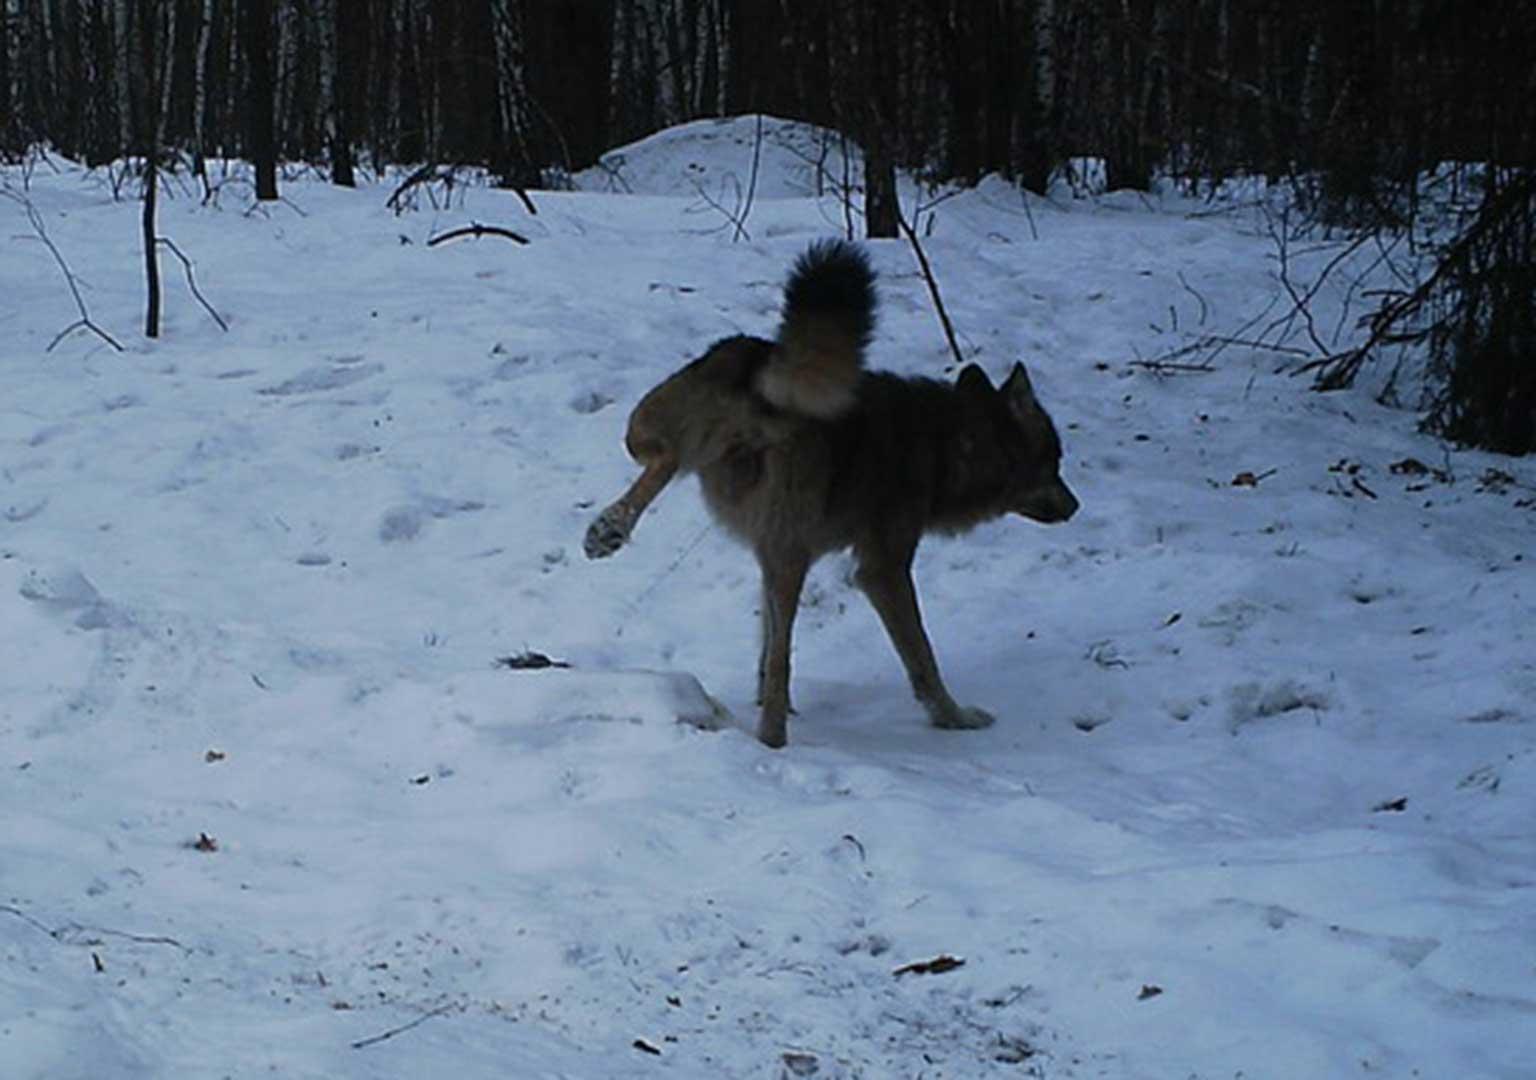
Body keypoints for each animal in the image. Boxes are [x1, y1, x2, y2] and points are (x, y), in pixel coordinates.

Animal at [586, 239, 1081, 746]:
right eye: (1055, 464)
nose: (1076, 506)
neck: (941, 446)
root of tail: (765, 374)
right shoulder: (883, 570)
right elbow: (922, 658)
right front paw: (953, 717)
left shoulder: (768, 554)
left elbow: (764, 646)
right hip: (794, 558)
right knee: (784, 660)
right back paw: (773, 738)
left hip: (656, 439)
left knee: (664, 461)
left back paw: (607, 530)